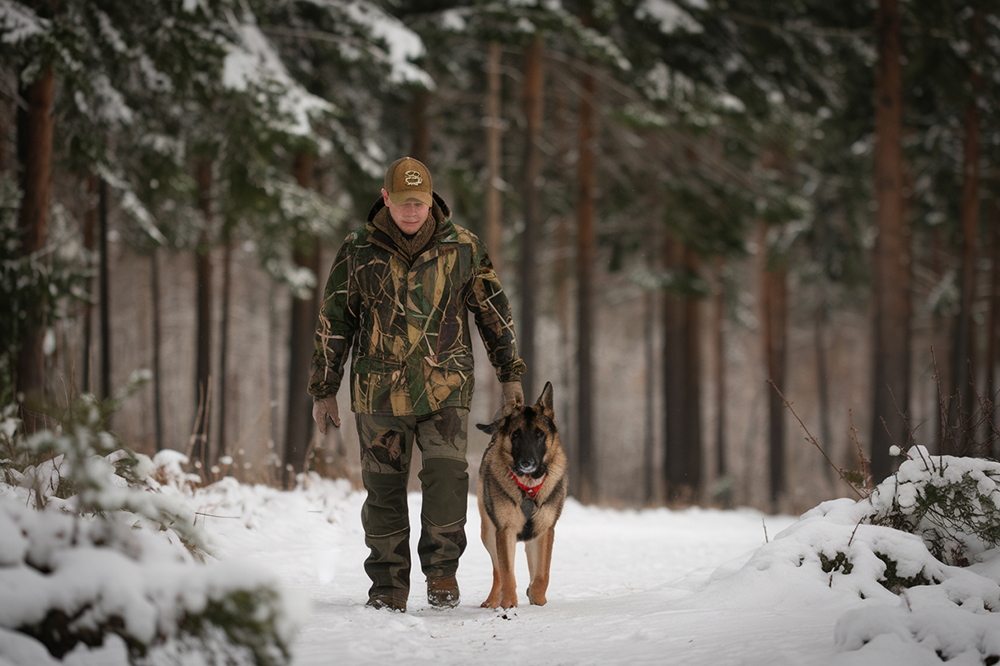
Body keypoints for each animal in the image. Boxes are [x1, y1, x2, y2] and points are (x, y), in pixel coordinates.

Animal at [474, 378, 568, 608]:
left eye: (539, 435)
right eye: (516, 435)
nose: (527, 462)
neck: (528, 486)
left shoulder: (544, 531)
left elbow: (542, 575)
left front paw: (537, 599)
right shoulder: (505, 530)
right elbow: (507, 573)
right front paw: (508, 604)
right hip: (488, 533)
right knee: (498, 572)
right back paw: (493, 601)